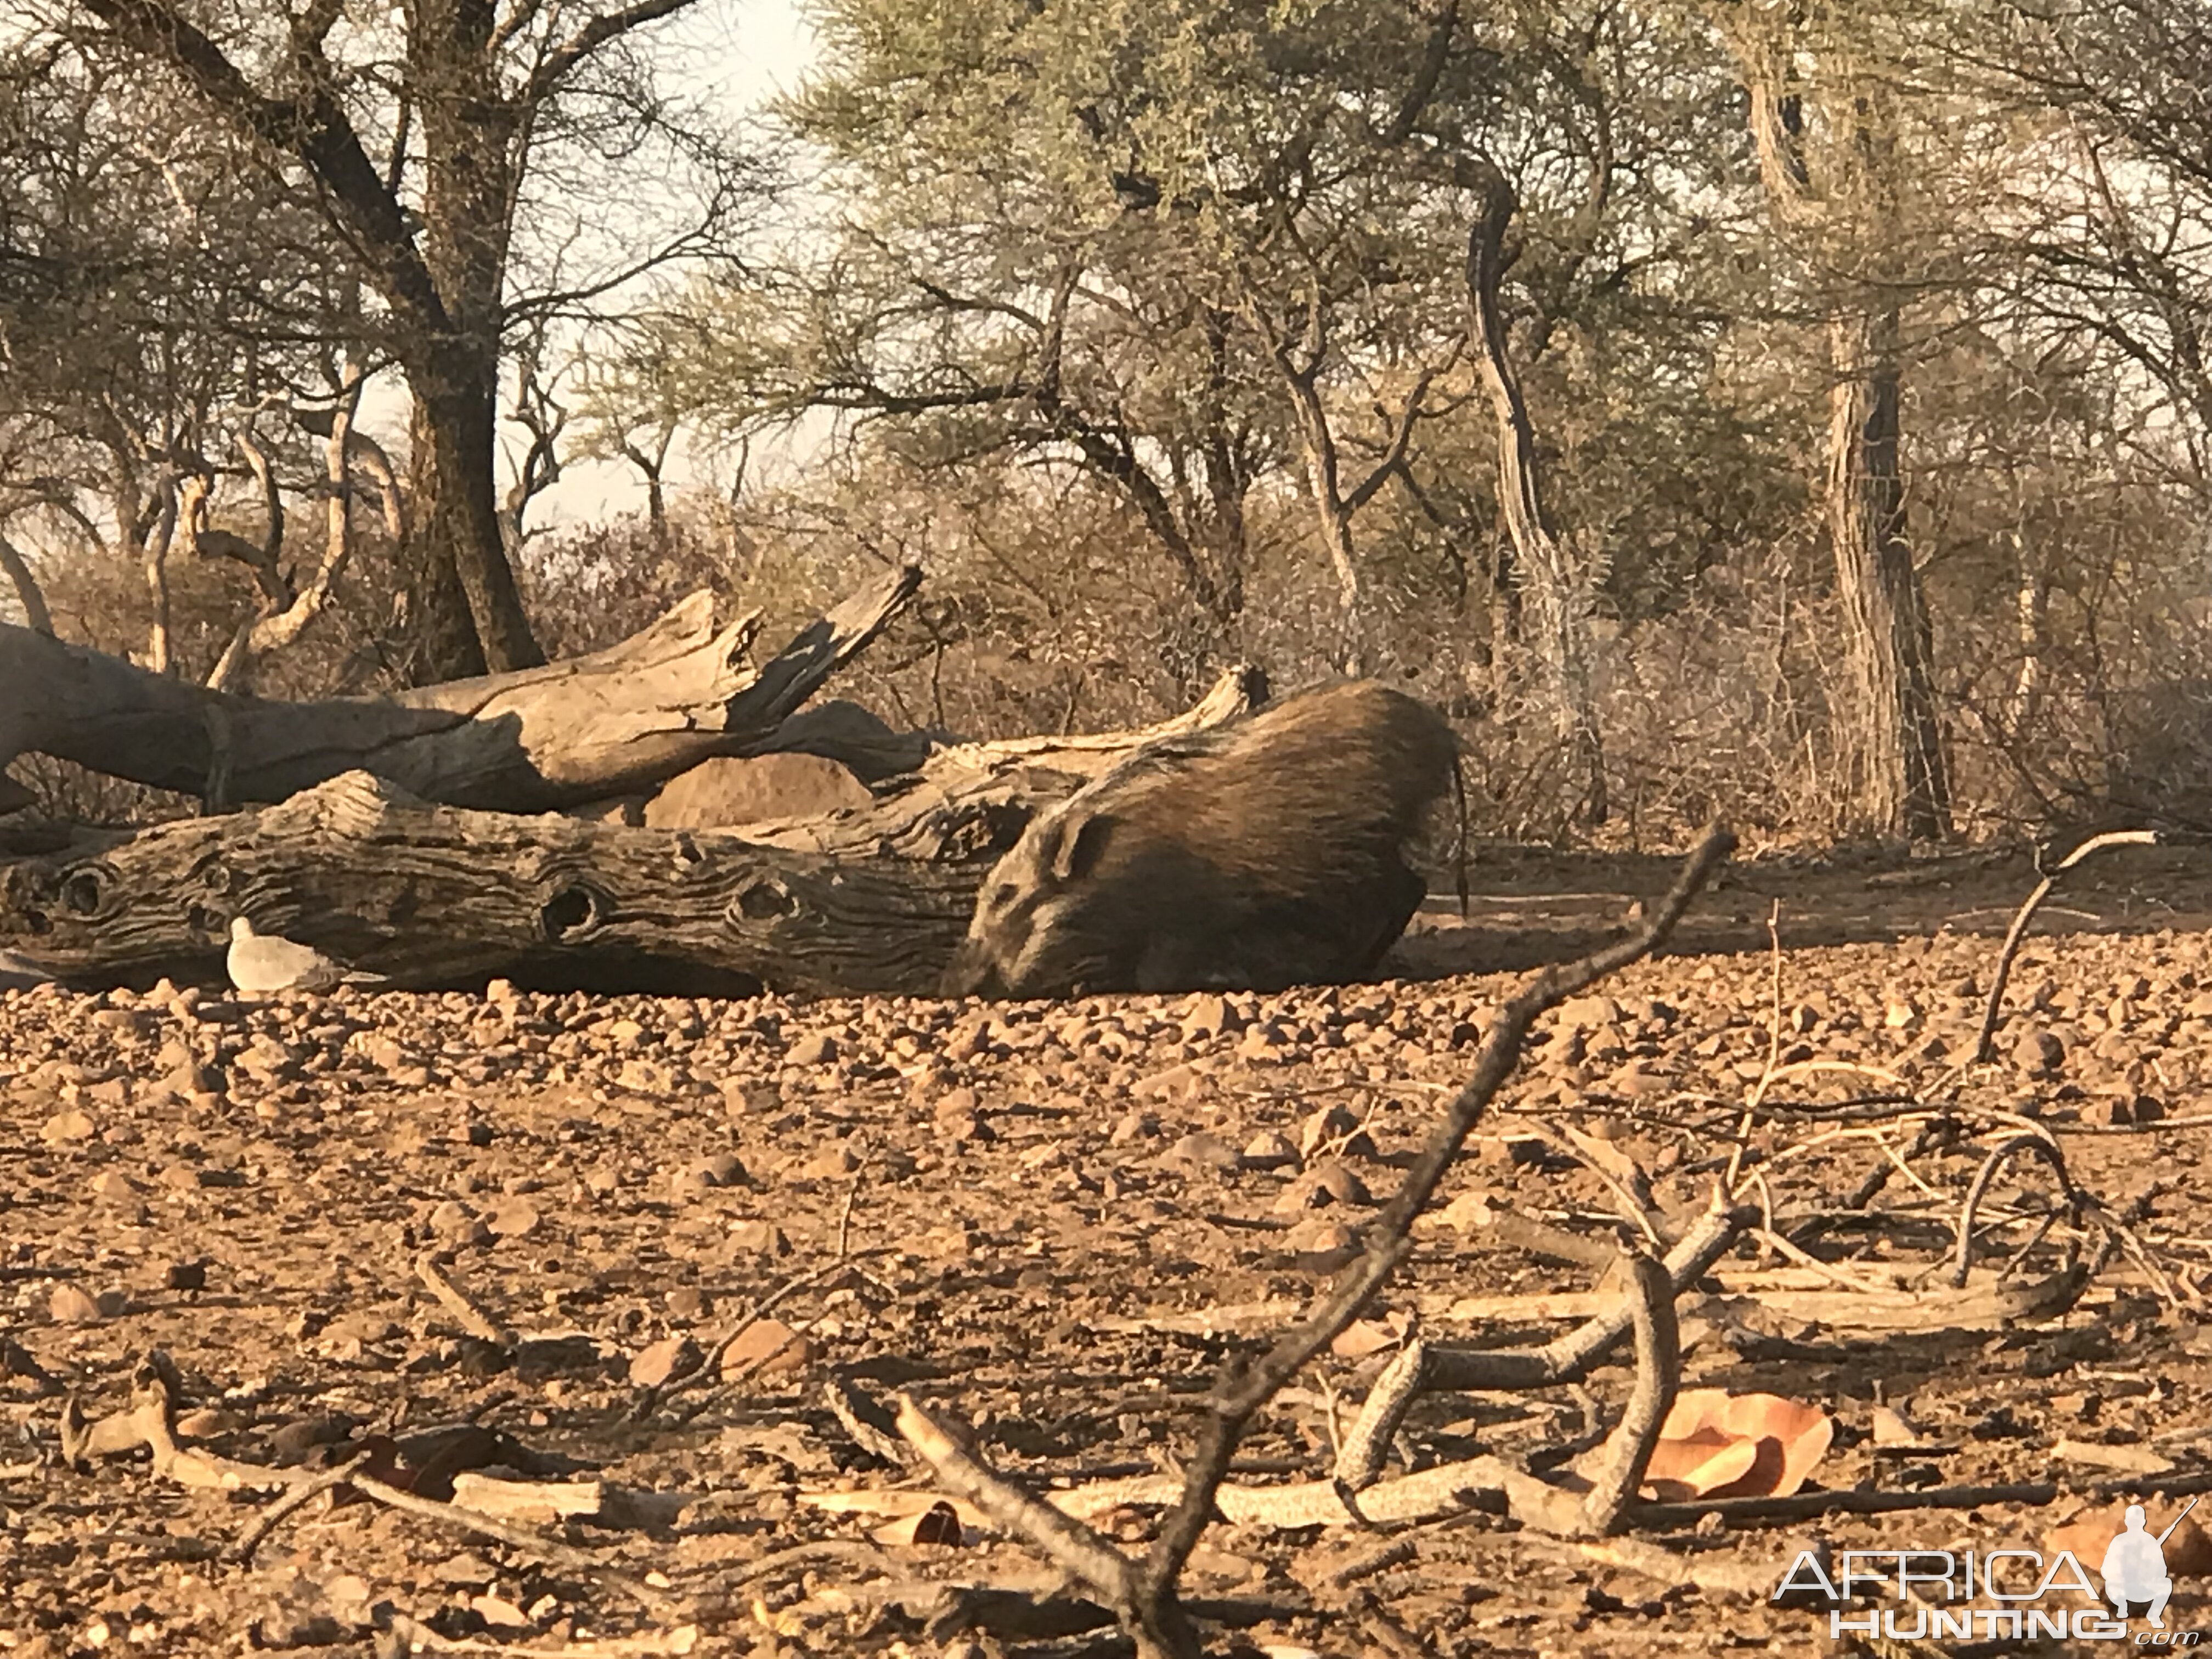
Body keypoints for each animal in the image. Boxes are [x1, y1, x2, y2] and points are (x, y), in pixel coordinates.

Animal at [942, 676, 1460, 1000]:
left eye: (1006, 895)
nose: (954, 984)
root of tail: (1442, 732)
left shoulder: (1190, 922)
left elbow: (1158, 973)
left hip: (1368, 851)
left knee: (1405, 891)